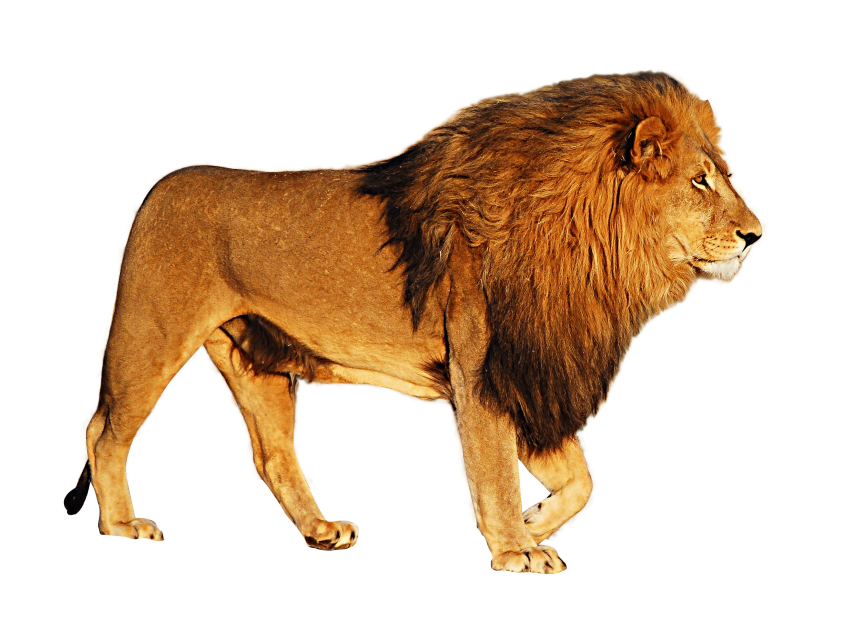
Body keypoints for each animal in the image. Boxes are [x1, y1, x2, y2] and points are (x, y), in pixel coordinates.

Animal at [64, 72, 761, 573]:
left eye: (725, 176)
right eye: (700, 182)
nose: (756, 235)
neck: (591, 250)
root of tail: (157, 189)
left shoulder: (528, 372)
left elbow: (582, 479)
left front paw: (535, 521)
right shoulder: (483, 373)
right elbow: (495, 472)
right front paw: (515, 550)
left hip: (257, 362)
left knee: (272, 455)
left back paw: (321, 532)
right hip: (150, 335)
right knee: (104, 430)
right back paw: (121, 526)